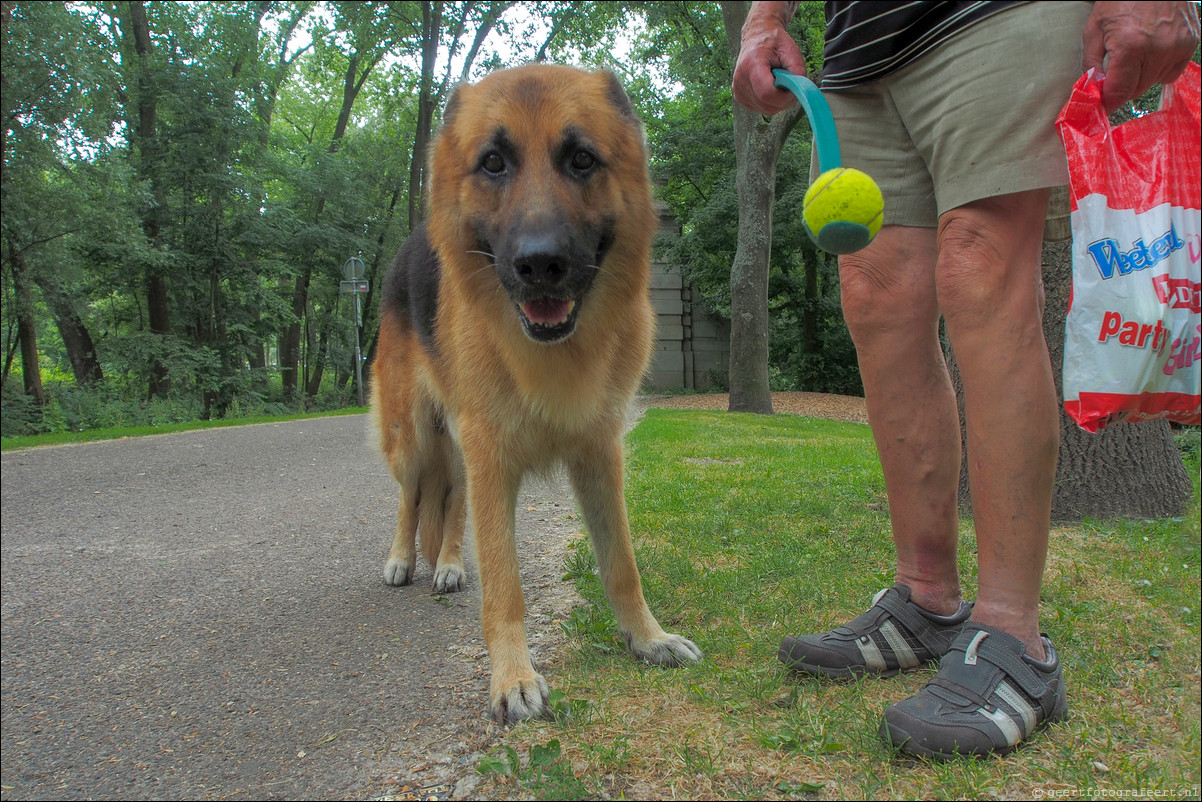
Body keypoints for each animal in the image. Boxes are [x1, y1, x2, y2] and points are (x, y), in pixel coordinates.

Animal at [370, 65, 701, 726]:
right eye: (494, 162)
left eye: (582, 159)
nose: (539, 264)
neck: (553, 356)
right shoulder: (493, 457)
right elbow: (505, 584)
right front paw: (513, 679)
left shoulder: (597, 455)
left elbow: (622, 565)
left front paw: (646, 638)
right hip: (412, 437)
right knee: (412, 495)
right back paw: (402, 559)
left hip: (460, 450)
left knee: (450, 502)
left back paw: (449, 564)